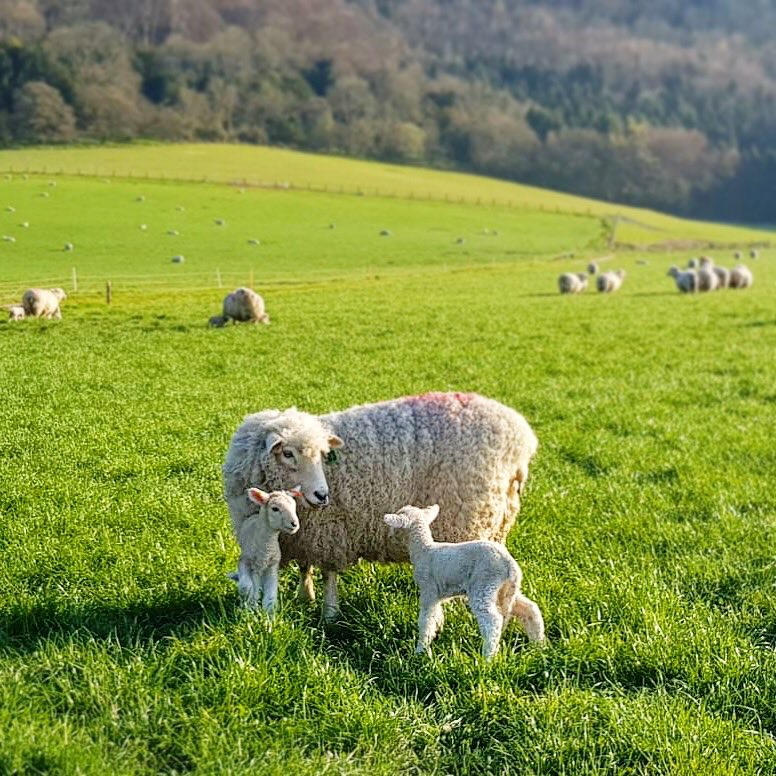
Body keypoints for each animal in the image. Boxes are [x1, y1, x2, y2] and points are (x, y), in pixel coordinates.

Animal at [223, 392, 539, 621]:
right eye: (287, 454)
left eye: (323, 455)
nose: (322, 495)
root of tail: (521, 441)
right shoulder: (306, 534)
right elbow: (305, 566)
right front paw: (305, 596)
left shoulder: (331, 530)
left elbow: (329, 573)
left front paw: (329, 613)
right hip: (497, 522)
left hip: (468, 520)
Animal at [384, 504, 544, 659]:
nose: (389, 535)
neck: (424, 549)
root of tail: (510, 565)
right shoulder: (437, 595)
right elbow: (436, 616)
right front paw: (437, 633)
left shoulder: (428, 589)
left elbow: (426, 620)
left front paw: (420, 649)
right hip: (505, 590)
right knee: (530, 609)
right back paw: (538, 645)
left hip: (484, 584)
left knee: (492, 621)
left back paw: (487, 658)